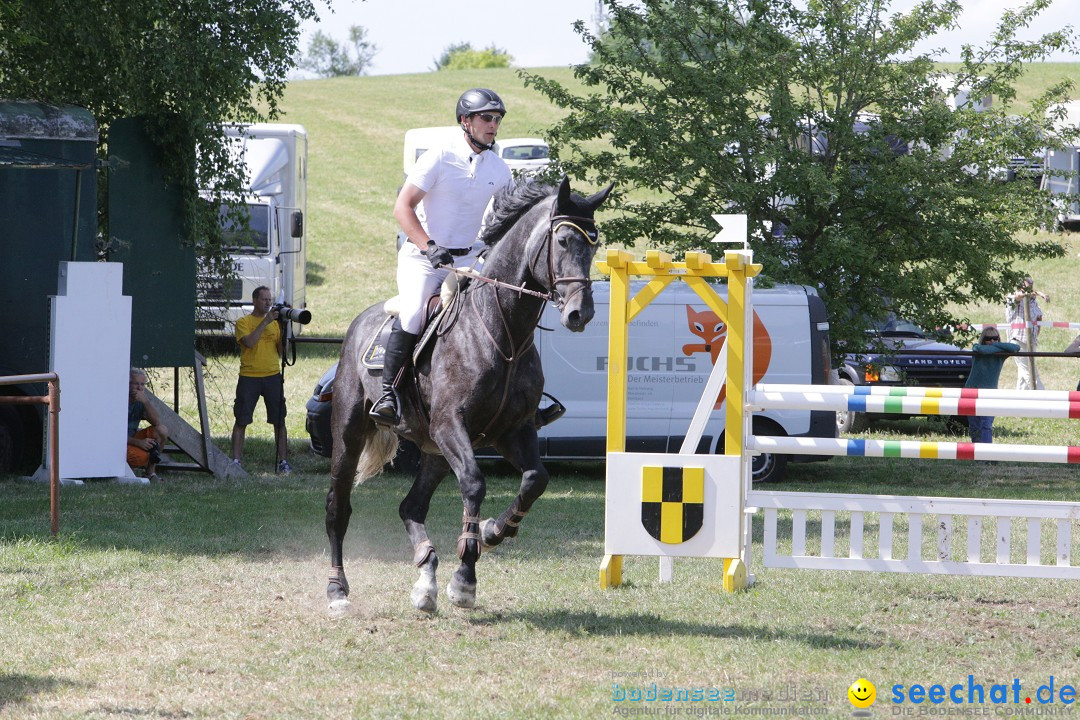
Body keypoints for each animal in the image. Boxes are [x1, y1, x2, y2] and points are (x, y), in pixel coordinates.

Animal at [321, 175, 609, 613]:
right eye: (562, 241)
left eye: (593, 244)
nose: (581, 313)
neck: (503, 331)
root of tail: (359, 322)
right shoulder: (451, 425)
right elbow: (474, 484)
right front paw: (465, 579)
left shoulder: (512, 431)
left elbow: (535, 480)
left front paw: (491, 532)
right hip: (351, 434)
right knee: (339, 506)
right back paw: (338, 589)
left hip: (434, 449)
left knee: (411, 507)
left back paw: (425, 580)